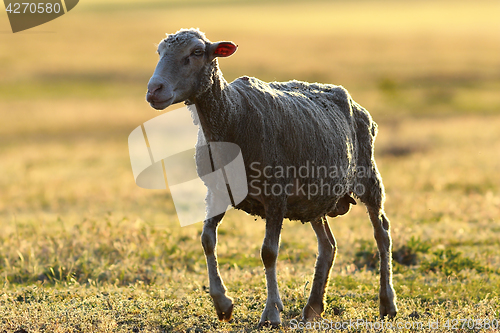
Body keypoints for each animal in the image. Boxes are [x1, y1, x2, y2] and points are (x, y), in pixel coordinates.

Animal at [146, 28, 398, 326]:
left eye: (196, 52)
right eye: (159, 52)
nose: (154, 90)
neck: (233, 116)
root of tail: (361, 109)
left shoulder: (276, 195)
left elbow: (268, 252)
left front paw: (271, 313)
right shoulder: (217, 191)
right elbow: (207, 239)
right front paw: (223, 304)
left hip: (368, 177)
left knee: (382, 233)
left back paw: (387, 303)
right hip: (315, 197)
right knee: (328, 245)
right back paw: (313, 308)